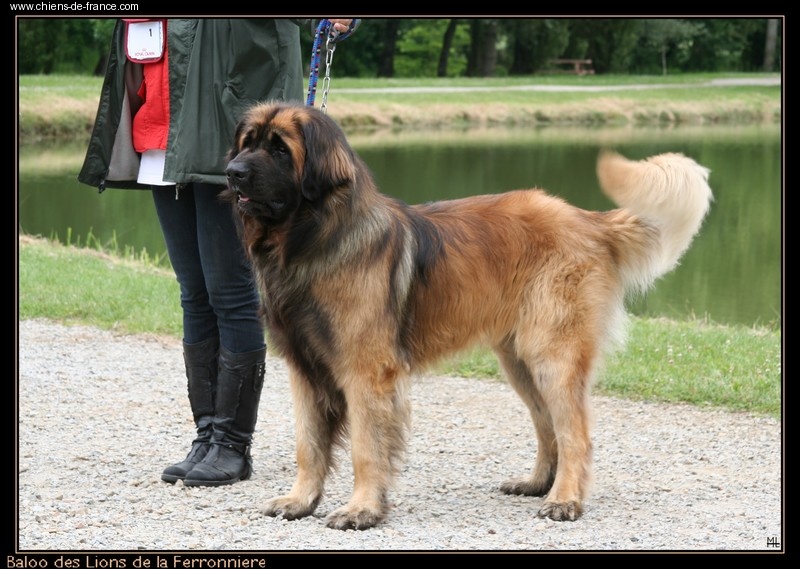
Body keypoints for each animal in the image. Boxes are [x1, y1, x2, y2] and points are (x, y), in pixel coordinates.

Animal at [223, 100, 712, 532]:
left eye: (279, 149)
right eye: (247, 143)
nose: (232, 173)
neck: (311, 240)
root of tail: (589, 220)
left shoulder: (366, 373)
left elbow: (366, 447)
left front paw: (361, 509)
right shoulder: (304, 369)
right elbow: (308, 444)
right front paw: (300, 500)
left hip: (552, 355)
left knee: (574, 433)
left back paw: (565, 500)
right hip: (520, 361)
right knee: (548, 426)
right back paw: (538, 483)